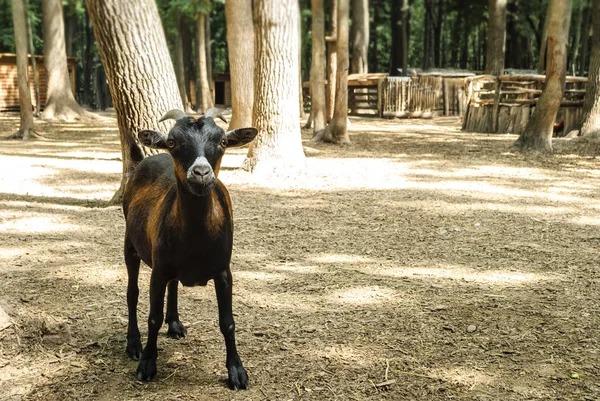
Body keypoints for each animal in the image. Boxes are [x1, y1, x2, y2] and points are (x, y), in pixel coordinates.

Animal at [123, 108, 256, 388]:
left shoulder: (223, 271)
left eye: (222, 141)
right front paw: (147, 364)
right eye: (173, 142)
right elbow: (153, 317)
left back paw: (174, 324)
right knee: (132, 293)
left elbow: (227, 322)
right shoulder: (158, 270)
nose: (201, 173)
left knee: (174, 284)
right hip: (130, 244)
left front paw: (237, 372)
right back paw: (134, 344)